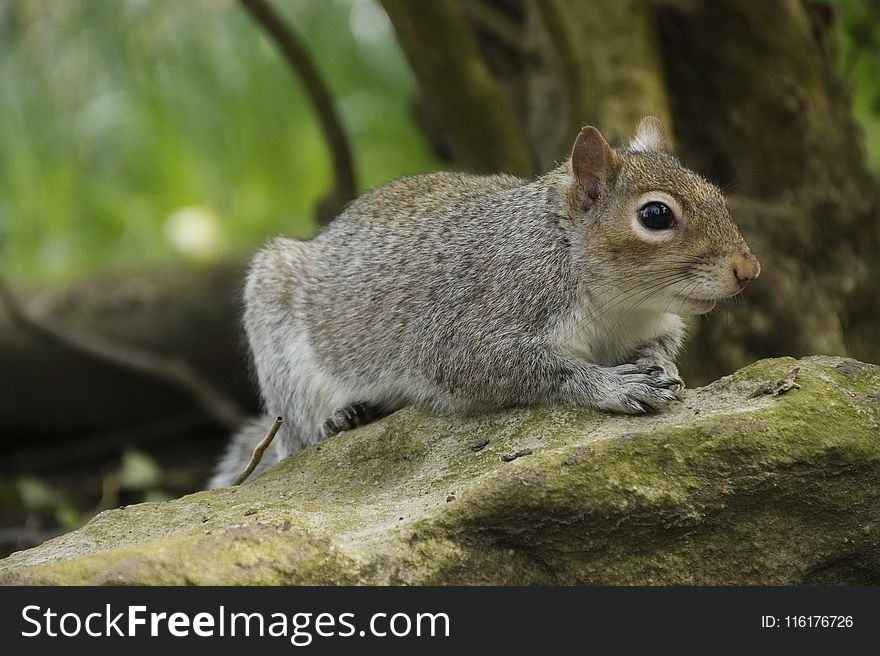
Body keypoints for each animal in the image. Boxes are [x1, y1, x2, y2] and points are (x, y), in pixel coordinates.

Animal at [210, 116, 760, 486]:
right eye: (654, 215)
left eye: (715, 191)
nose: (748, 270)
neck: (620, 304)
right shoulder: (472, 322)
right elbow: (522, 367)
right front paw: (614, 384)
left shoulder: (654, 324)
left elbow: (658, 348)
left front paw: (659, 367)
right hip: (281, 343)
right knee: (299, 430)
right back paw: (340, 419)